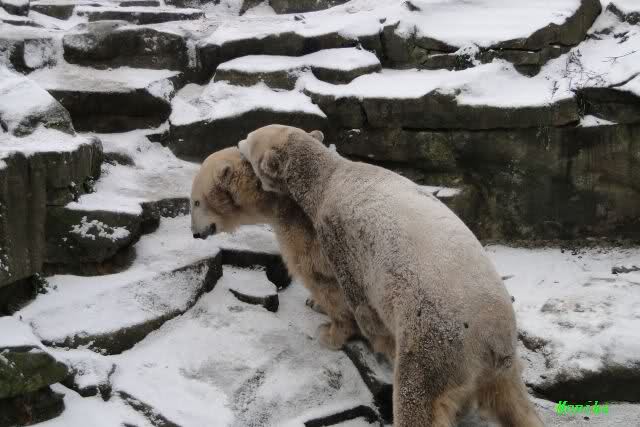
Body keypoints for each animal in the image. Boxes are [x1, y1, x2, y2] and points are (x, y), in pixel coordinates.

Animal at [190, 146, 394, 354]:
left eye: (196, 202)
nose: (195, 233)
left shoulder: (310, 232)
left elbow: (320, 275)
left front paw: (332, 334)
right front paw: (315, 303)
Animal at [238, 124, 543, 427]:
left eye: (250, 138)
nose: (239, 142)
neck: (329, 177)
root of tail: (492, 341)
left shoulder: (337, 231)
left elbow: (352, 296)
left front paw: (332, 333)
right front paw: (316, 306)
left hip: (435, 343)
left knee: (417, 397)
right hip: (502, 363)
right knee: (513, 400)